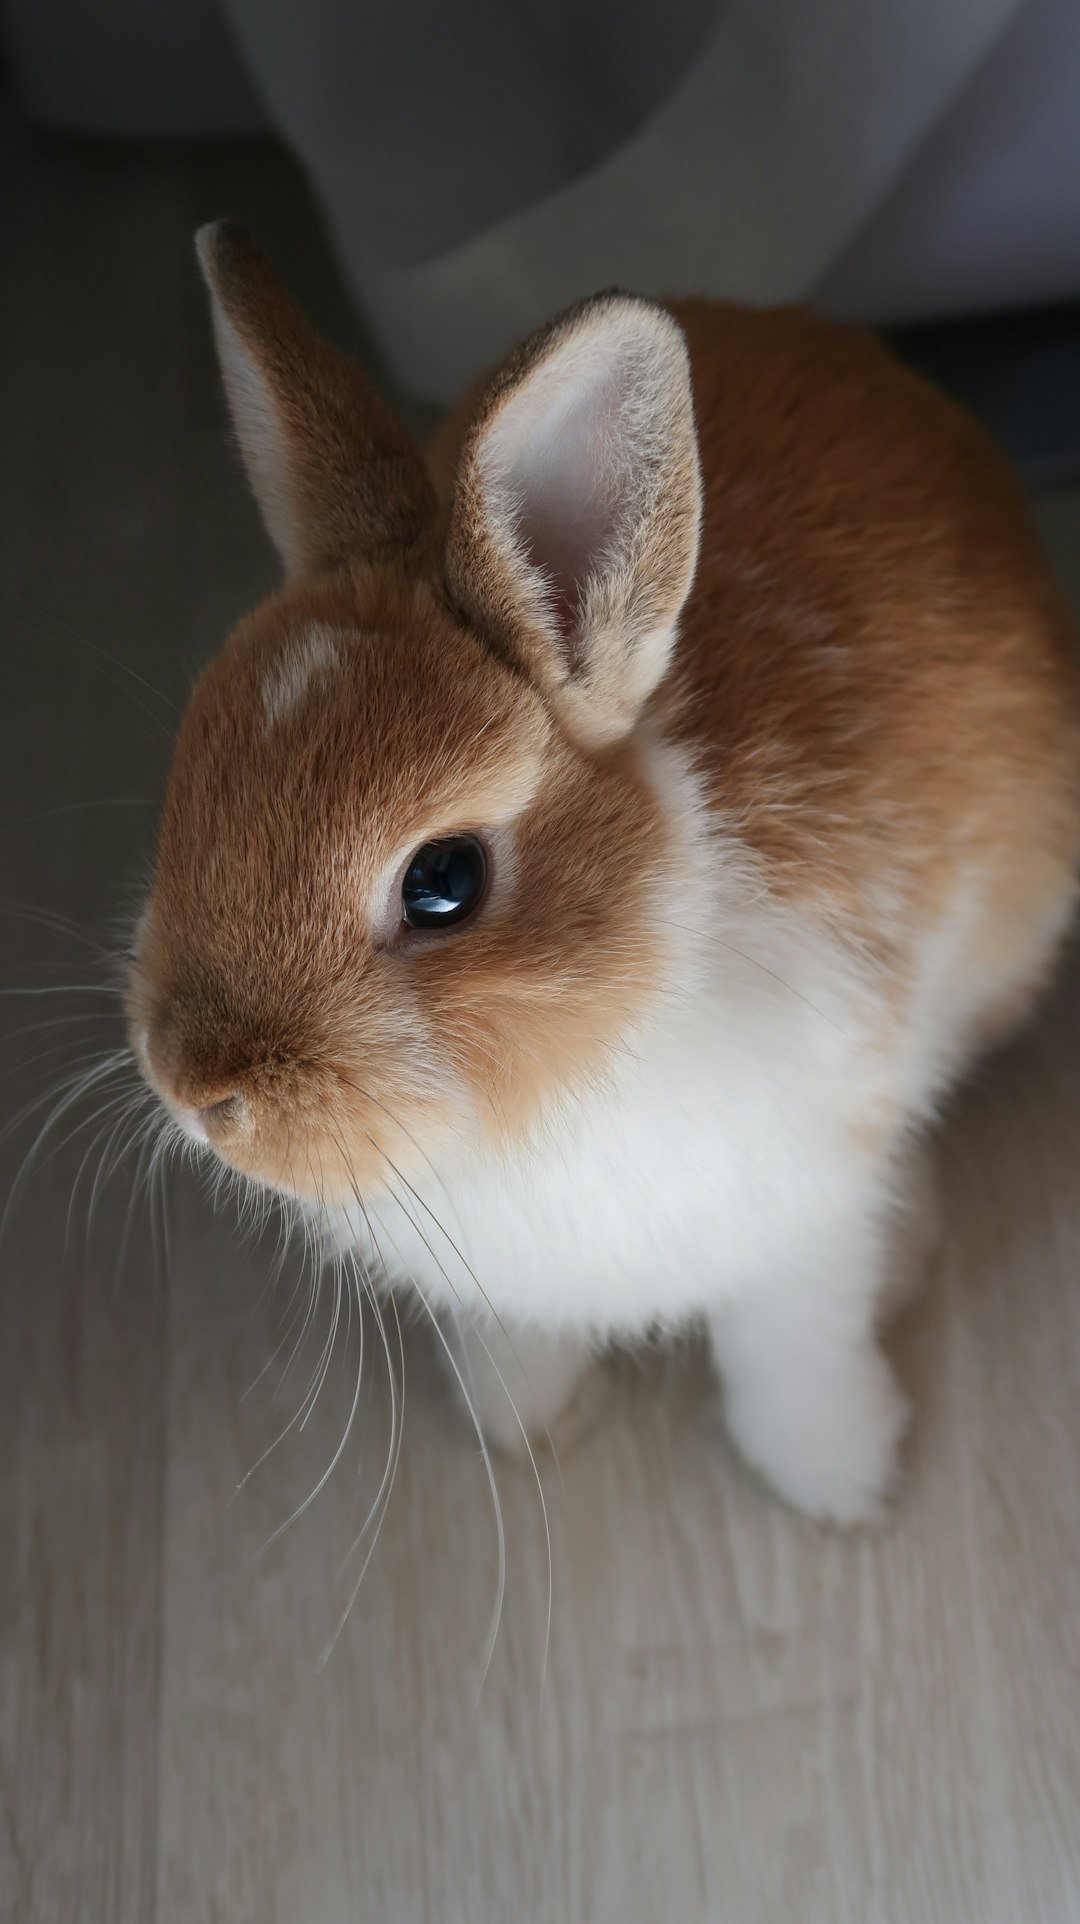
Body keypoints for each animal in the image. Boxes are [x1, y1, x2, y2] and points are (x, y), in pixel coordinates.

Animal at [127, 221, 1080, 1527]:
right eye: (191, 782)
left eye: (443, 881)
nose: (197, 1094)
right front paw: (524, 1419)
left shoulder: (805, 1218)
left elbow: (797, 1349)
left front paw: (840, 1483)